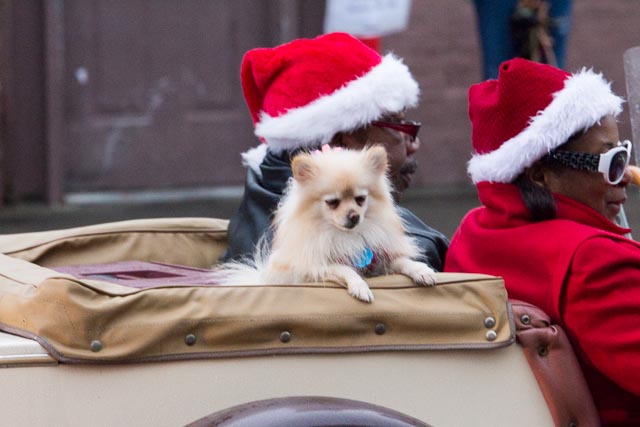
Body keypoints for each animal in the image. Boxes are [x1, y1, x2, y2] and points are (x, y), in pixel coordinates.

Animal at [218, 145, 438, 302]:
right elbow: (345, 269)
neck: (345, 237)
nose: (354, 216)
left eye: (360, 199)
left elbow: (403, 261)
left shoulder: (380, 259)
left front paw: (423, 271)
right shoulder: (315, 267)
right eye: (332, 202)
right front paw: (360, 287)